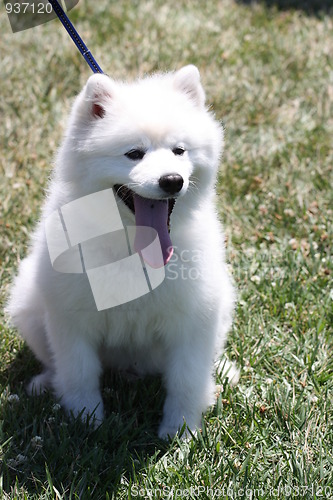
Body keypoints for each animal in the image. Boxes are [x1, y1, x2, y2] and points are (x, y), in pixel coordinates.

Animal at [7, 65, 236, 438]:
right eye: (134, 153)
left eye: (179, 151)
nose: (172, 180)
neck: (133, 244)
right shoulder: (71, 318)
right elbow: (79, 373)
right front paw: (87, 420)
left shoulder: (193, 320)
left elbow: (186, 381)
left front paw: (179, 432)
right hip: (29, 305)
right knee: (56, 364)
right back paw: (44, 383)